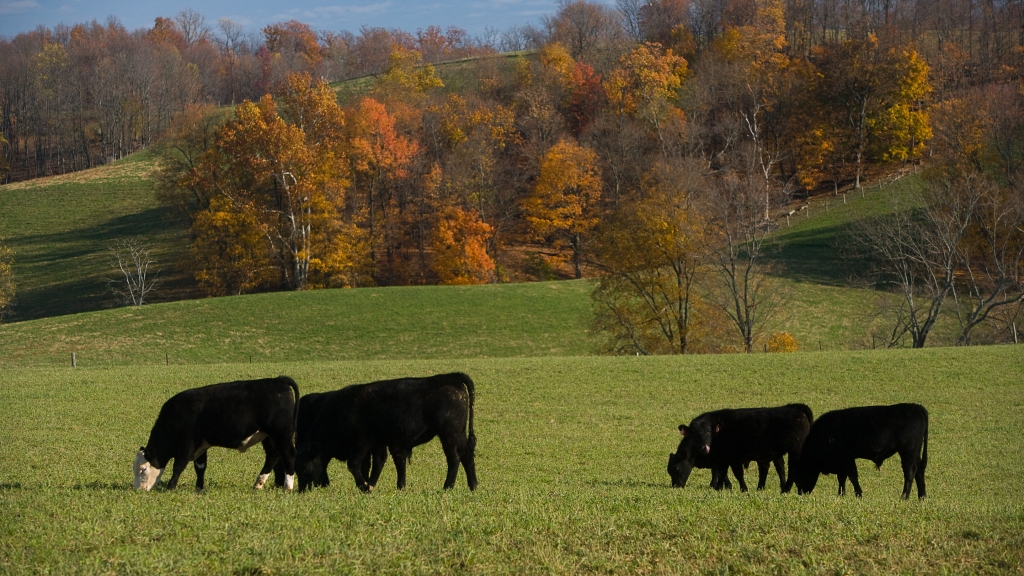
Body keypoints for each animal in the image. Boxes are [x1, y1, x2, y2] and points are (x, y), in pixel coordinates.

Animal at [133, 375, 299, 491]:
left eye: (143, 469)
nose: (138, 490)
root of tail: (279, 380)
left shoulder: (188, 444)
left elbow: (179, 465)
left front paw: (171, 486)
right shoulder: (201, 445)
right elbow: (200, 467)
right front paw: (199, 488)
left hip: (281, 434)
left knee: (288, 455)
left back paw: (287, 487)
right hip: (268, 436)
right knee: (272, 456)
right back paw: (258, 484)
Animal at [292, 373, 475, 487]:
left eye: (304, 469)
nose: (302, 490)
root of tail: (451, 377)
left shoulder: (361, 443)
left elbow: (355, 464)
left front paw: (364, 486)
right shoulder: (378, 443)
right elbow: (378, 463)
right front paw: (371, 485)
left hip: (449, 434)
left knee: (454, 458)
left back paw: (447, 487)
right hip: (459, 434)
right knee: (467, 456)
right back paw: (473, 485)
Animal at [667, 401, 811, 491]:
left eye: (708, 431)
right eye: (695, 434)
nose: (676, 486)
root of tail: (796, 408)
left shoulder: (732, 458)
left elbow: (735, 474)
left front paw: (742, 489)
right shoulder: (721, 460)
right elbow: (722, 473)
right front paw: (720, 488)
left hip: (794, 451)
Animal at [790, 399, 929, 498]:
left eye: (799, 474)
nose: (801, 493)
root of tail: (916, 407)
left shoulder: (847, 458)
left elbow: (852, 476)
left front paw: (858, 495)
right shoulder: (842, 462)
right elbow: (842, 478)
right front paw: (841, 495)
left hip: (908, 451)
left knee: (910, 471)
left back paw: (904, 497)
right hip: (915, 452)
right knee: (919, 471)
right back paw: (922, 497)